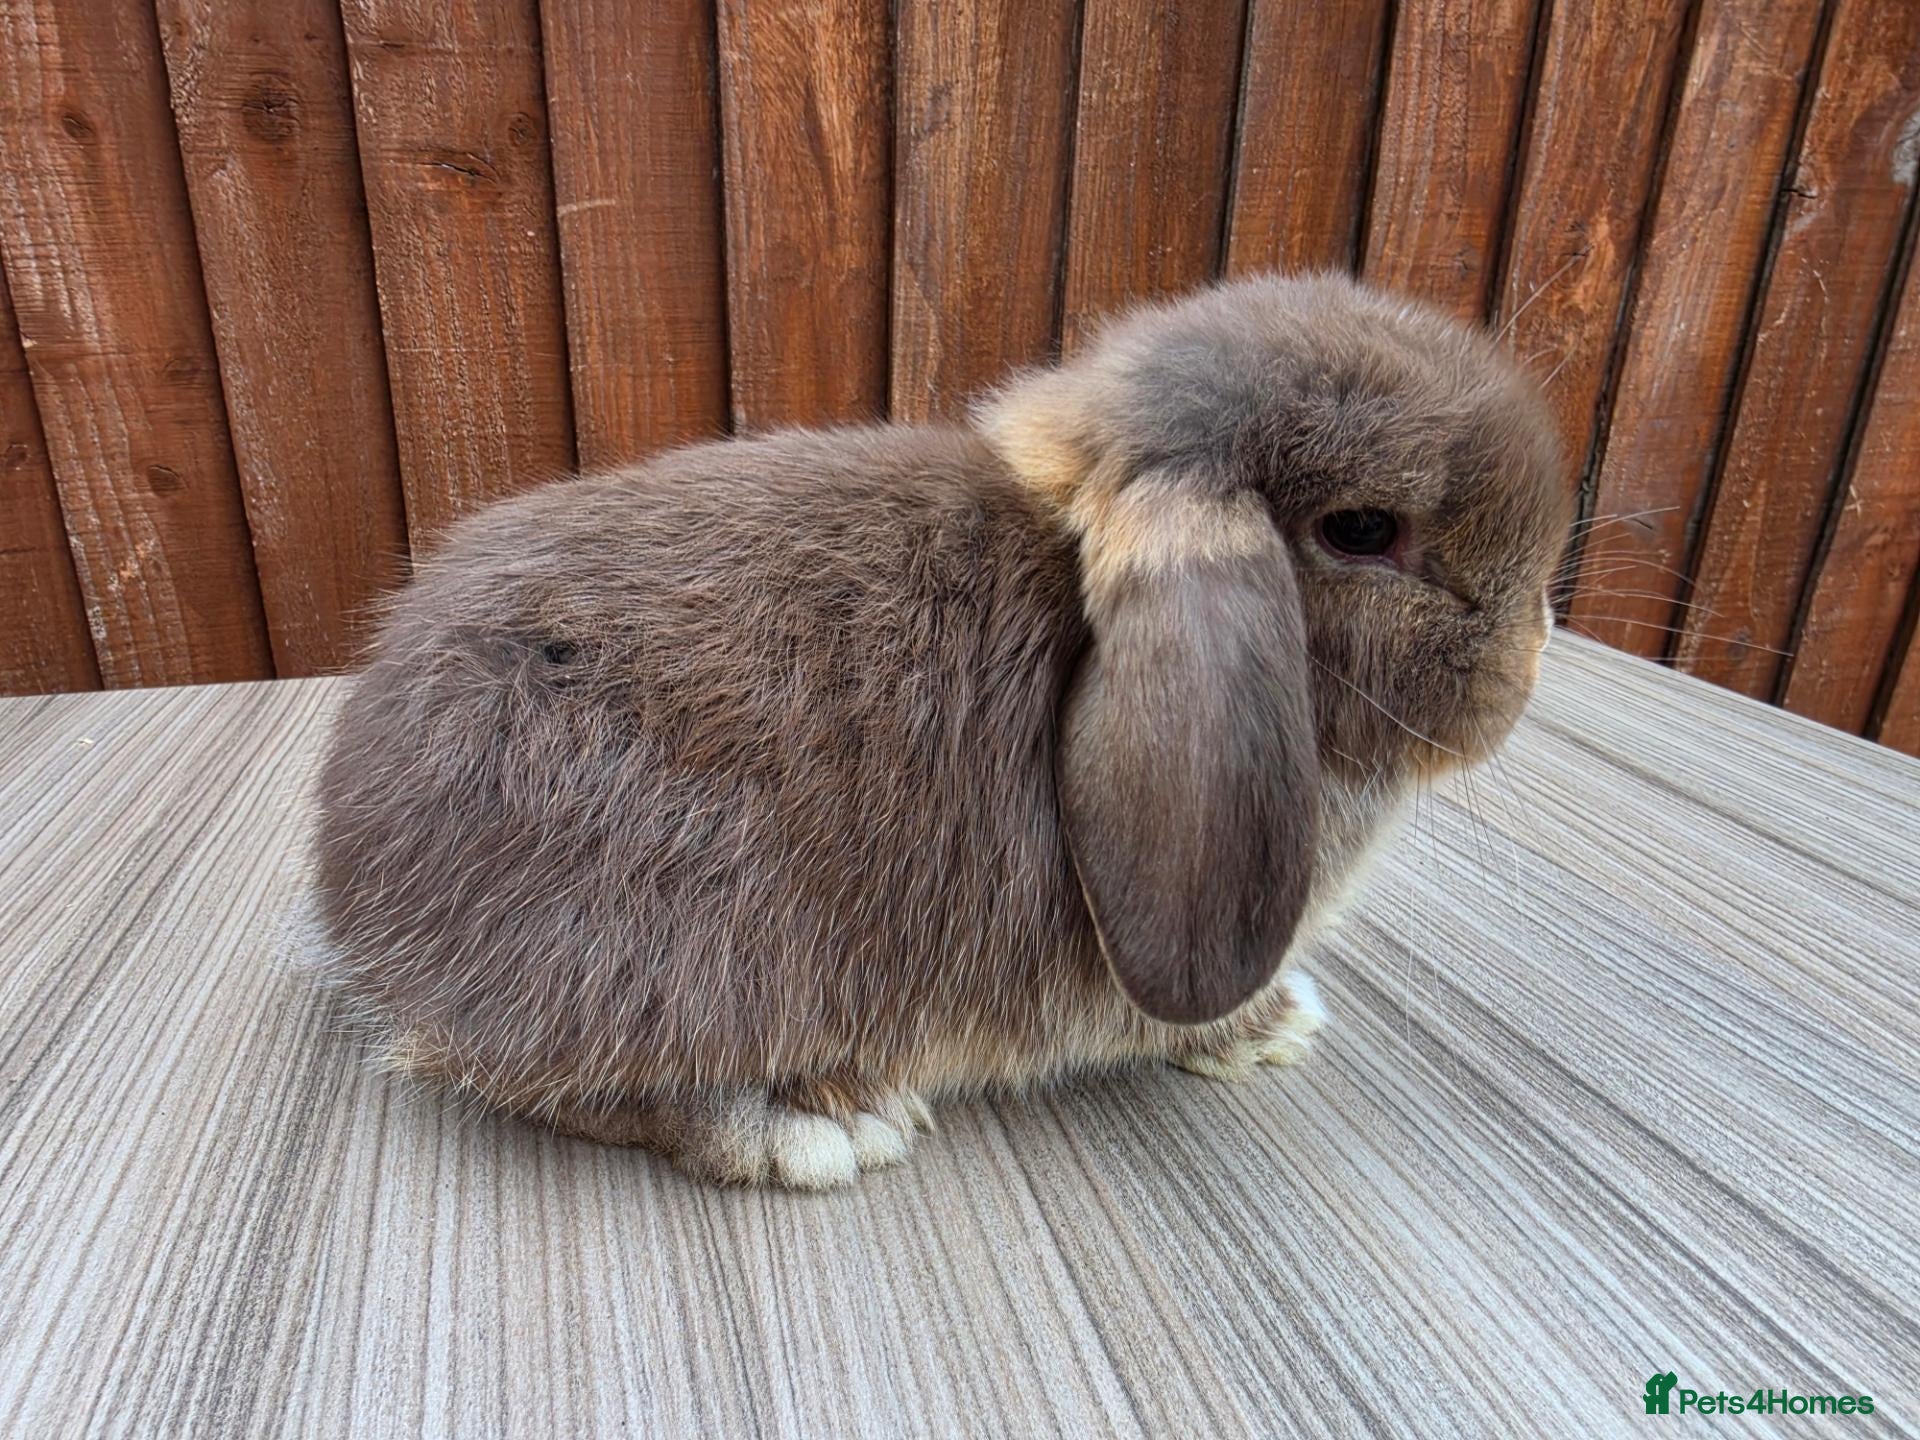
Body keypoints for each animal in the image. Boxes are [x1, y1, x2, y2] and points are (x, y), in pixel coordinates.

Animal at [309, 272, 1571, 1189]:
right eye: (1362, 529)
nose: (1538, 650)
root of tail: (357, 907)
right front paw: (1269, 1029)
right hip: (677, 942)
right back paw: (816, 1119)